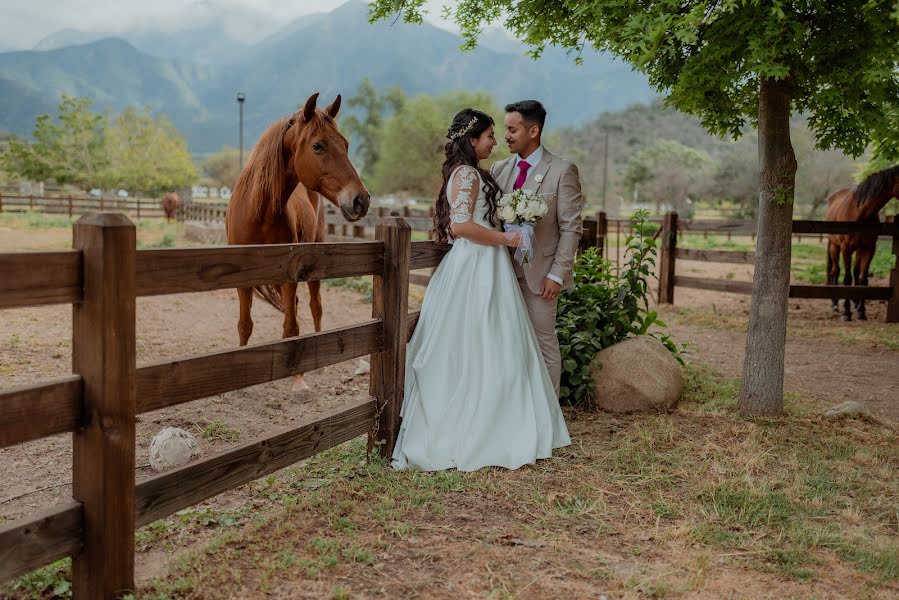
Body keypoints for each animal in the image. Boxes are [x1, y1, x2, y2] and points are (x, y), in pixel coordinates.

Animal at [227, 91, 370, 394]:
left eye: (346, 144)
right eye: (318, 146)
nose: (361, 200)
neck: (259, 212)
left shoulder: (289, 274)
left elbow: (292, 328)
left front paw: (299, 380)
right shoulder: (242, 279)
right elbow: (245, 324)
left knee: (316, 307)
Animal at [828, 164, 899, 318]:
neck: (860, 213)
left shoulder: (869, 248)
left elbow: (863, 279)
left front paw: (861, 311)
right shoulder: (846, 248)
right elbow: (847, 279)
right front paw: (846, 312)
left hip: (858, 249)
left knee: (855, 272)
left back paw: (855, 303)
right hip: (834, 246)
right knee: (836, 271)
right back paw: (834, 305)